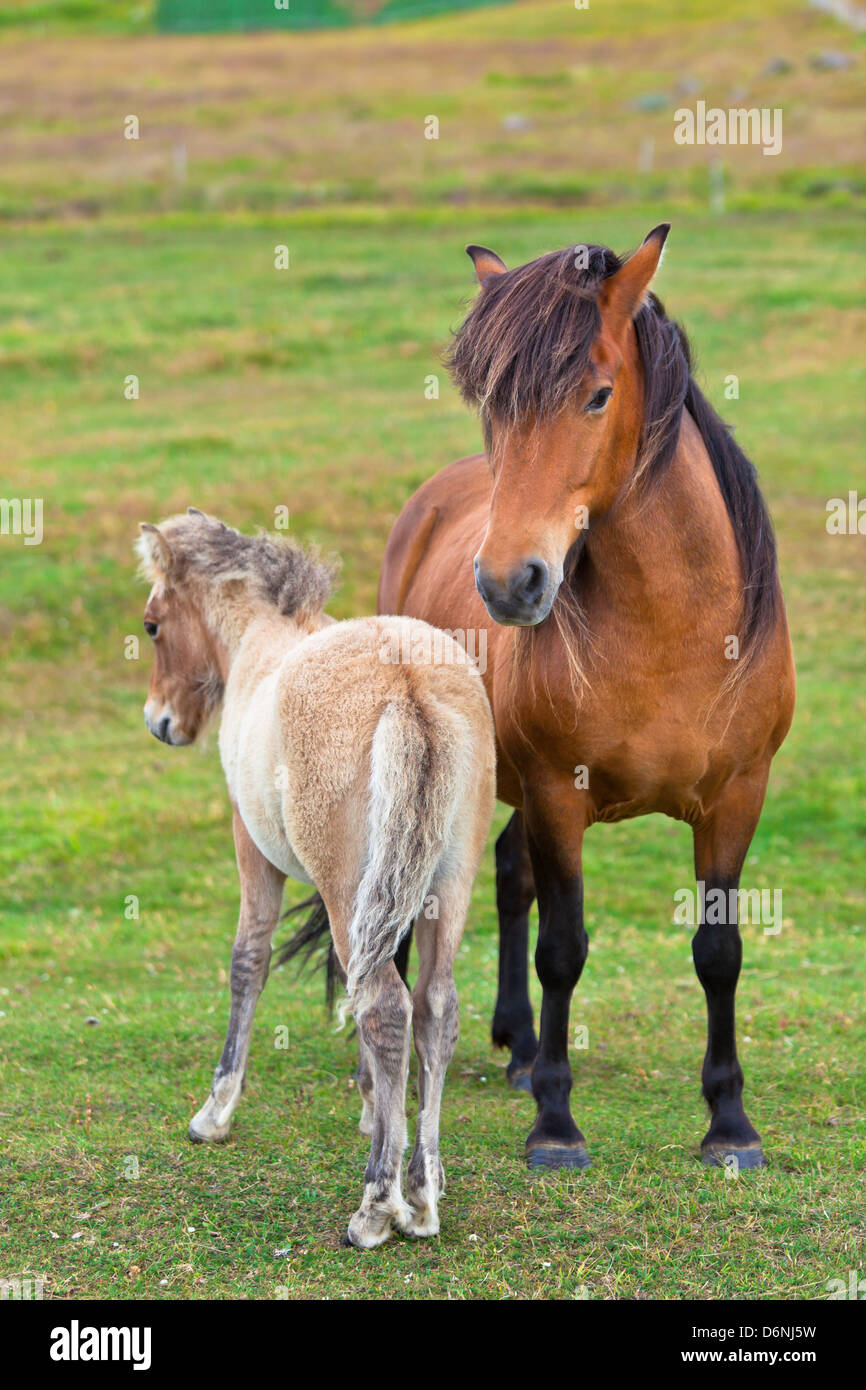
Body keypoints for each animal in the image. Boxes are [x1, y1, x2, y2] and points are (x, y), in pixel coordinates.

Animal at [383, 227, 795, 1173]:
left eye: (598, 395)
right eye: (493, 407)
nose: (509, 583)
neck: (670, 636)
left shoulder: (738, 797)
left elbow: (719, 950)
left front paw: (729, 1123)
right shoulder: (556, 792)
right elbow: (563, 947)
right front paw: (557, 1125)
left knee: (508, 874)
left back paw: (519, 1047)